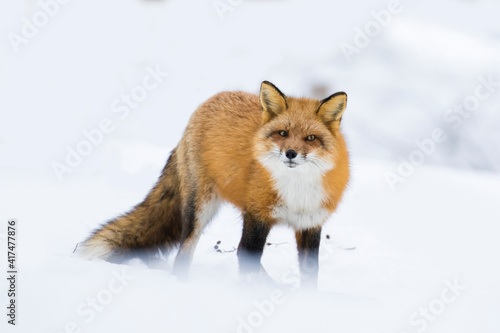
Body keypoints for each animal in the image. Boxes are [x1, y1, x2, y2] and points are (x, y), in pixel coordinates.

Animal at [79, 80, 352, 286]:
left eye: (311, 138)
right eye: (283, 133)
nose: (291, 153)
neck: (297, 191)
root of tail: (210, 100)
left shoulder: (310, 223)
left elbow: (310, 274)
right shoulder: (256, 217)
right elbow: (247, 260)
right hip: (199, 211)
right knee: (184, 252)